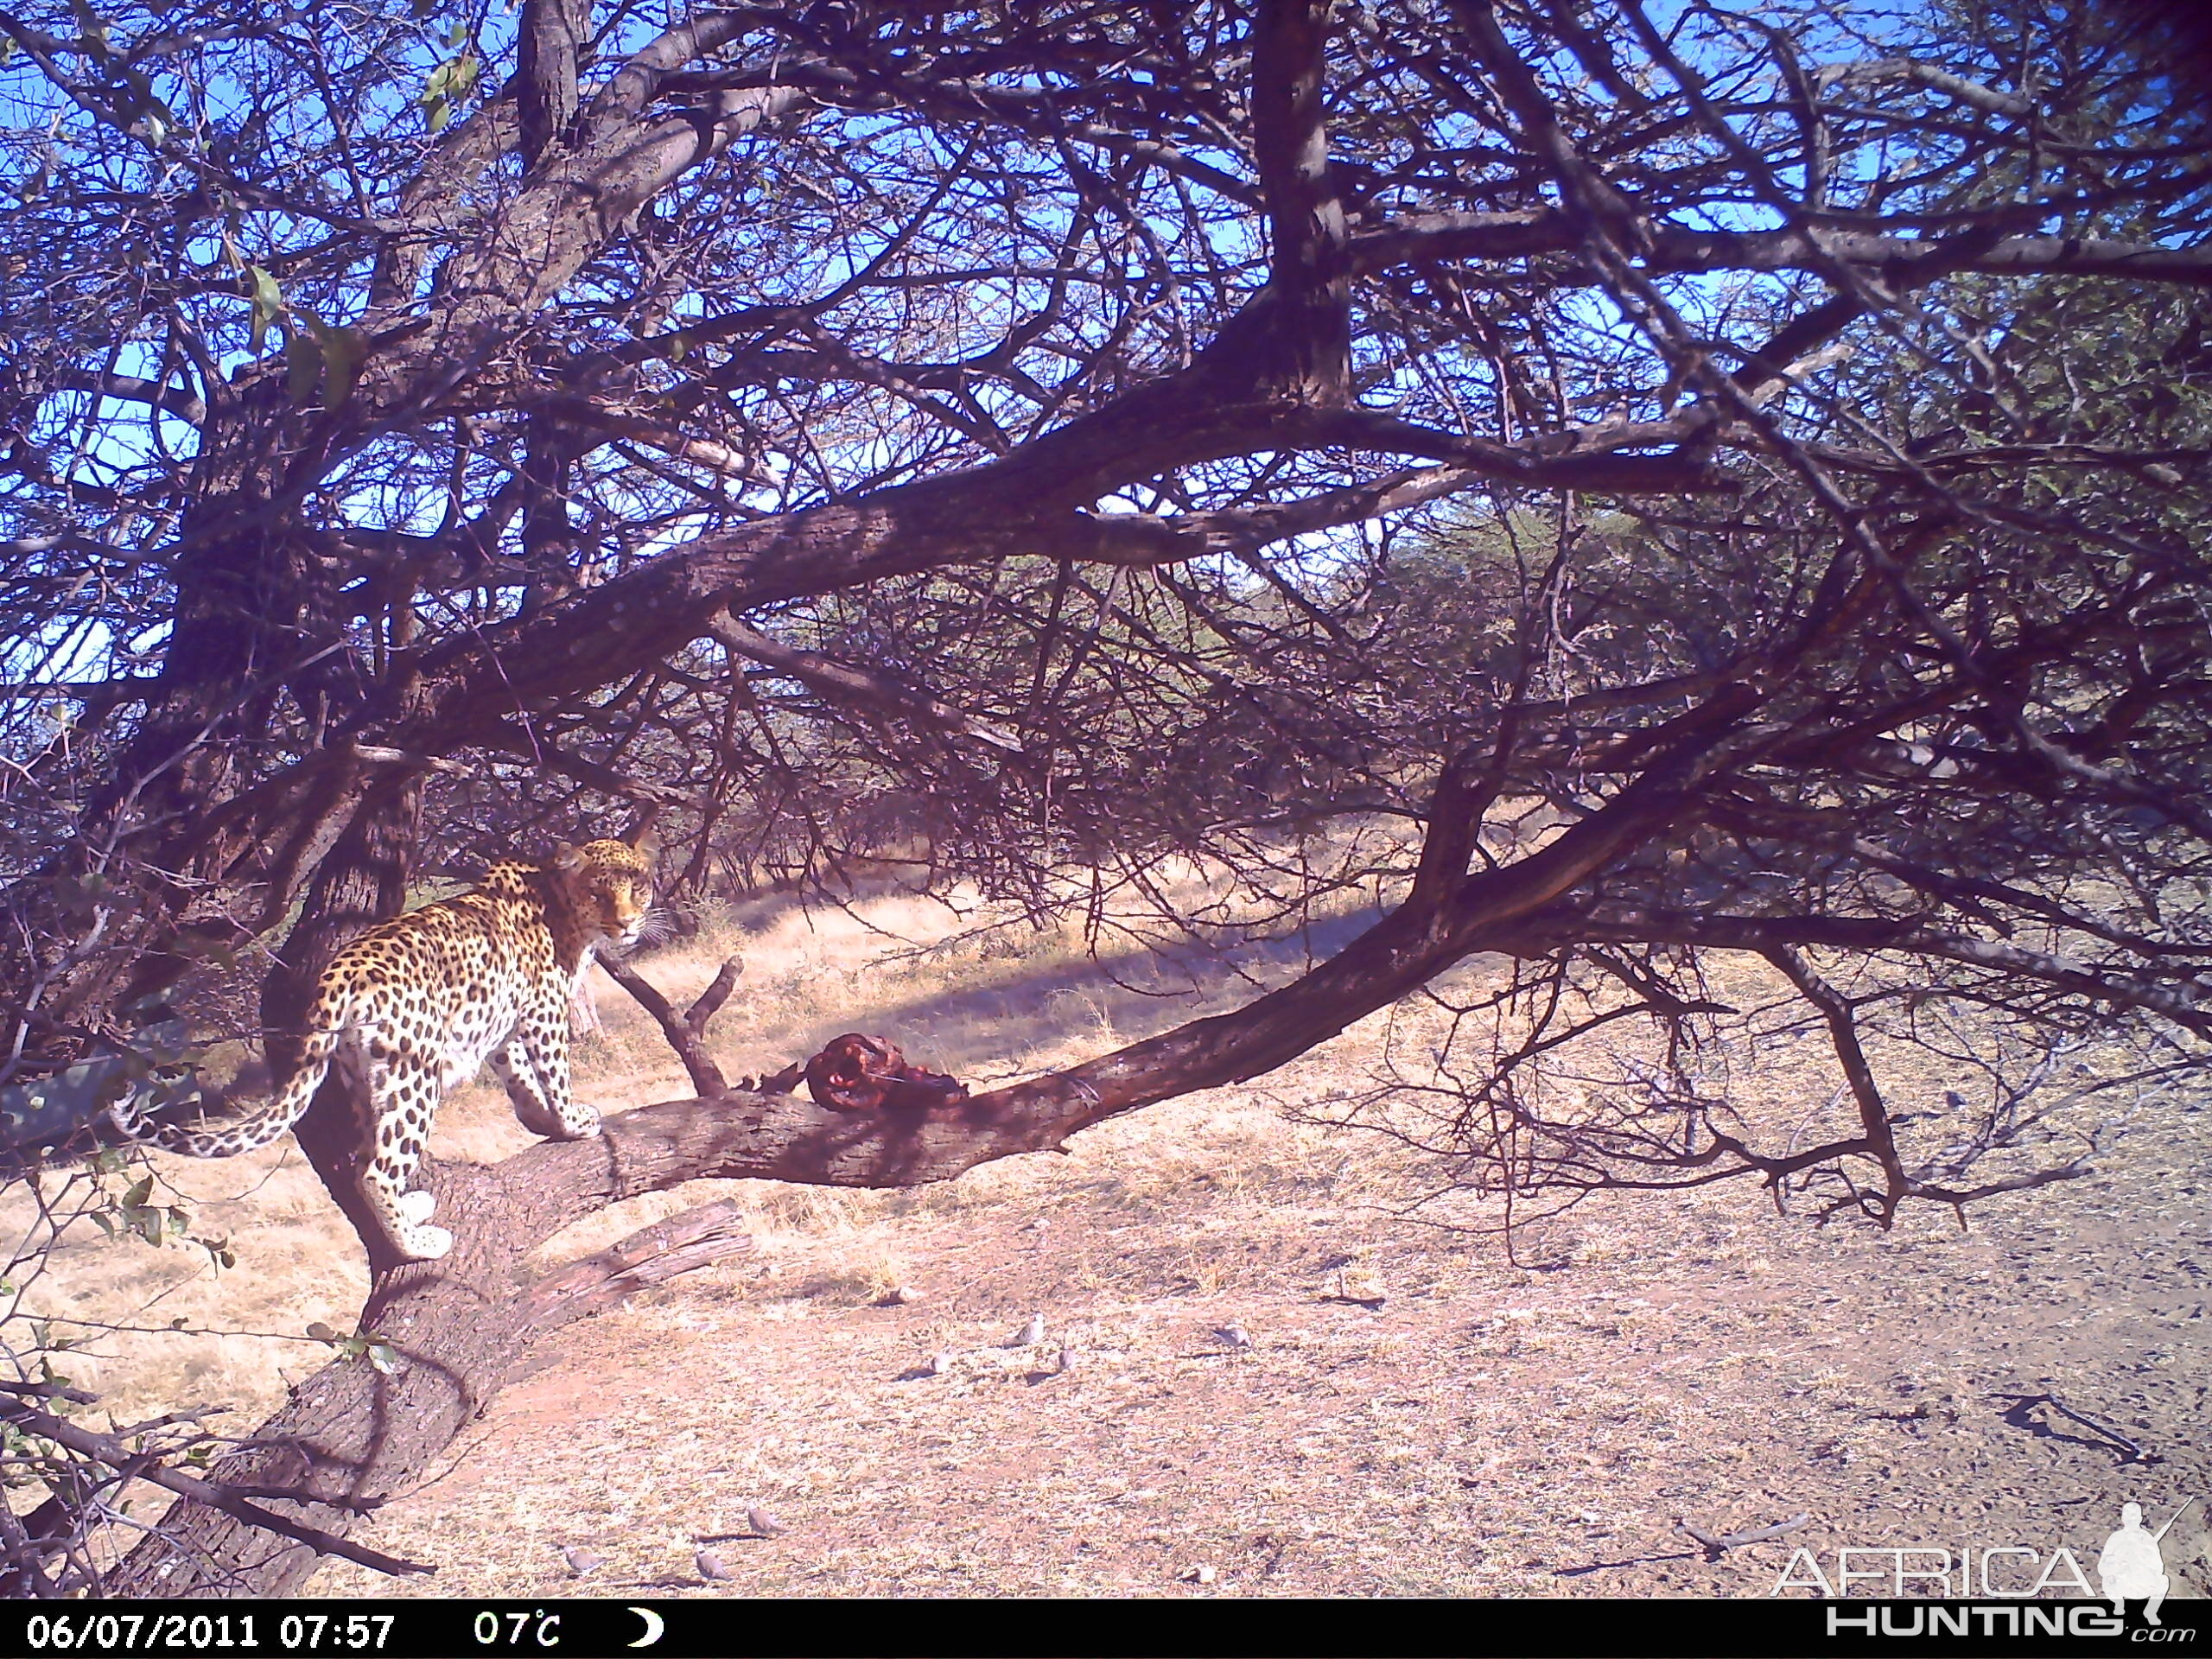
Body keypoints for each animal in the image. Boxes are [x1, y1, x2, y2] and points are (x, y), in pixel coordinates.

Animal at [111, 831, 658, 1256]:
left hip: (366, 1074)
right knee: (375, 1171)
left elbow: (519, 1073)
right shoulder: (544, 1009)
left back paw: (411, 1209)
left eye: (639, 886)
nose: (627, 924)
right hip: (414, 1071)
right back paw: (419, 1245)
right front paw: (571, 1121)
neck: (561, 907)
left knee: (361, 1159)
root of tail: (338, 971)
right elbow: (553, 1069)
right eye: (599, 893)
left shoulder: (500, 1018)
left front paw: (541, 1119)